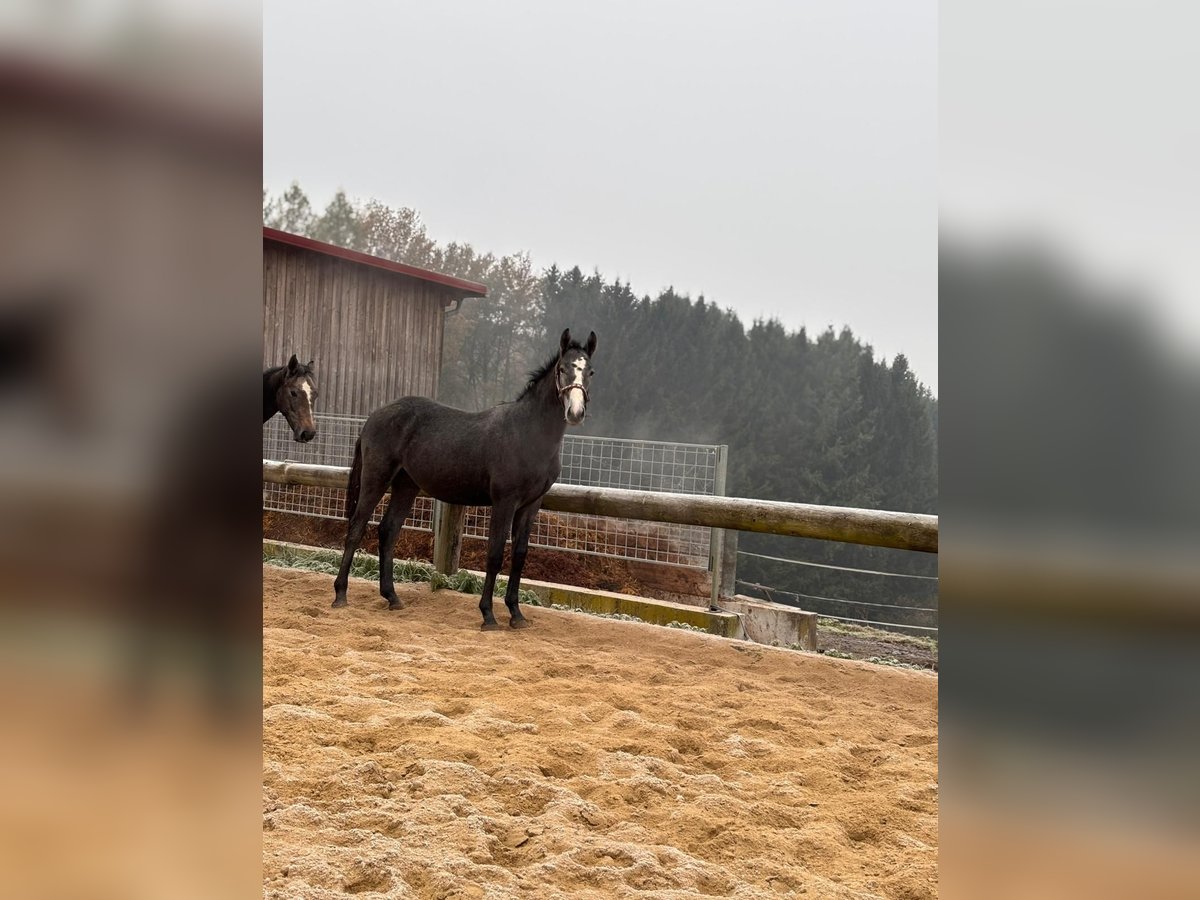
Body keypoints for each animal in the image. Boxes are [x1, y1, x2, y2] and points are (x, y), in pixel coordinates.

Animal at [333, 328, 595, 628]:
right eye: (562, 369)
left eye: (590, 371)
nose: (575, 413)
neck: (527, 434)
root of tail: (373, 417)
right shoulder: (505, 501)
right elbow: (494, 555)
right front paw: (488, 615)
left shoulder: (531, 505)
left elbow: (519, 555)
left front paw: (516, 615)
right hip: (376, 478)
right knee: (356, 527)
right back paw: (340, 594)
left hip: (406, 485)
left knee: (388, 531)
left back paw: (392, 597)